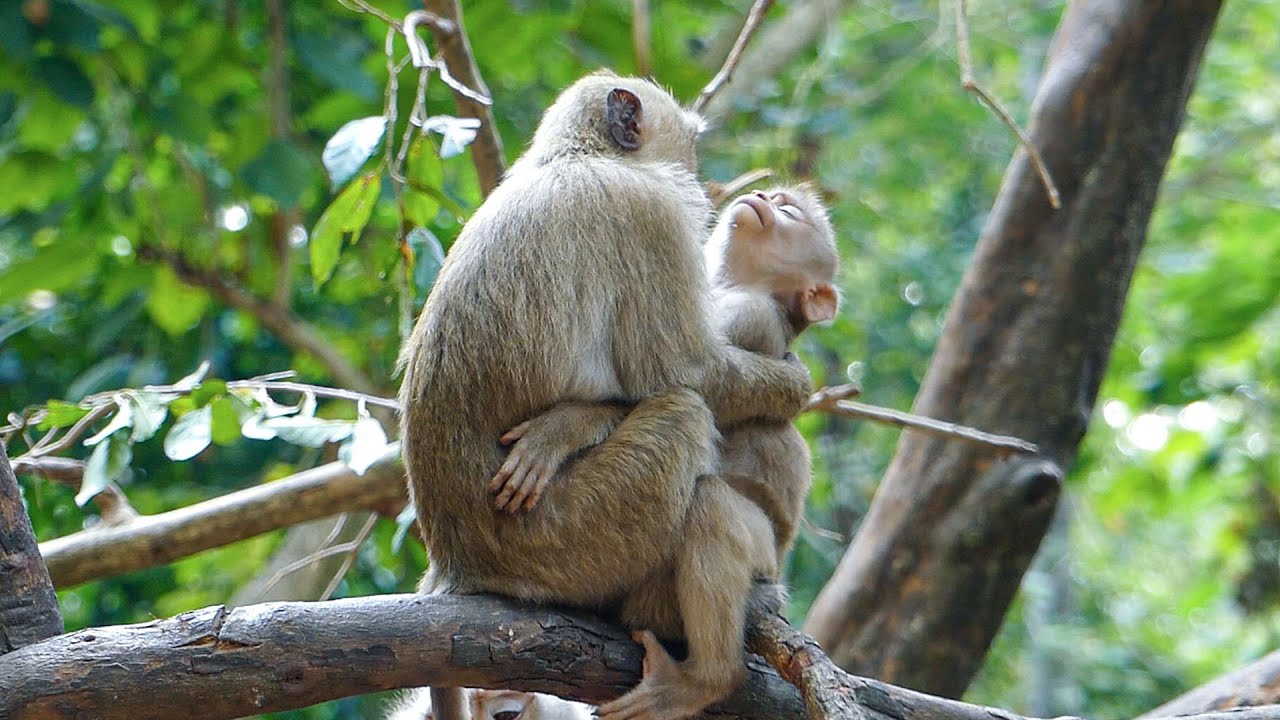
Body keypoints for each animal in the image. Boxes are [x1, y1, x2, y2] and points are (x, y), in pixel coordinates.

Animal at [397, 71, 813, 720]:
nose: (700, 177)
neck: (576, 156)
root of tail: (456, 564)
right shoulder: (650, 216)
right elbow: (687, 372)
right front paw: (794, 386)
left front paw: (571, 422)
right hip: (572, 535)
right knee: (684, 415)